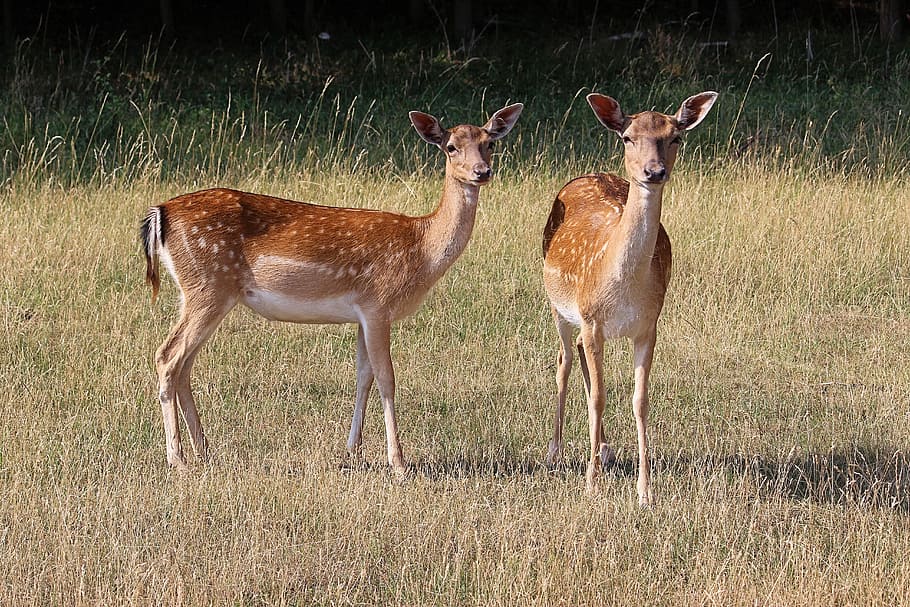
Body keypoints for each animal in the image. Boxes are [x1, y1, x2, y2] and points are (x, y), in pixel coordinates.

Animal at [140, 103, 523, 474]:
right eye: (450, 146)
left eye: (490, 143)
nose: (482, 171)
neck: (421, 248)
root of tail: (159, 213)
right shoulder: (378, 303)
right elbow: (387, 377)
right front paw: (398, 462)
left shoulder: (363, 314)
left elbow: (363, 376)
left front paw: (352, 452)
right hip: (208, 285)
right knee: (167, 356)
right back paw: (177, 459)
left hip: (203, 291)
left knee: (185, 363)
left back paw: (204, 452)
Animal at [541, 91, 717, 506]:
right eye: (627, 137)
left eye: (675, 136)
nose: (654, 171)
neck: (623, 287)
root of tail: (587, 175)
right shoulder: (592, 318)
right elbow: (599, 397)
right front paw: (591, 484)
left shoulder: (649, 325)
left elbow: (640, 400)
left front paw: (645, 491)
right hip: (558, 306)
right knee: (564, 359)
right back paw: (555, 451)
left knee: (576, 353)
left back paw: (605, 449)